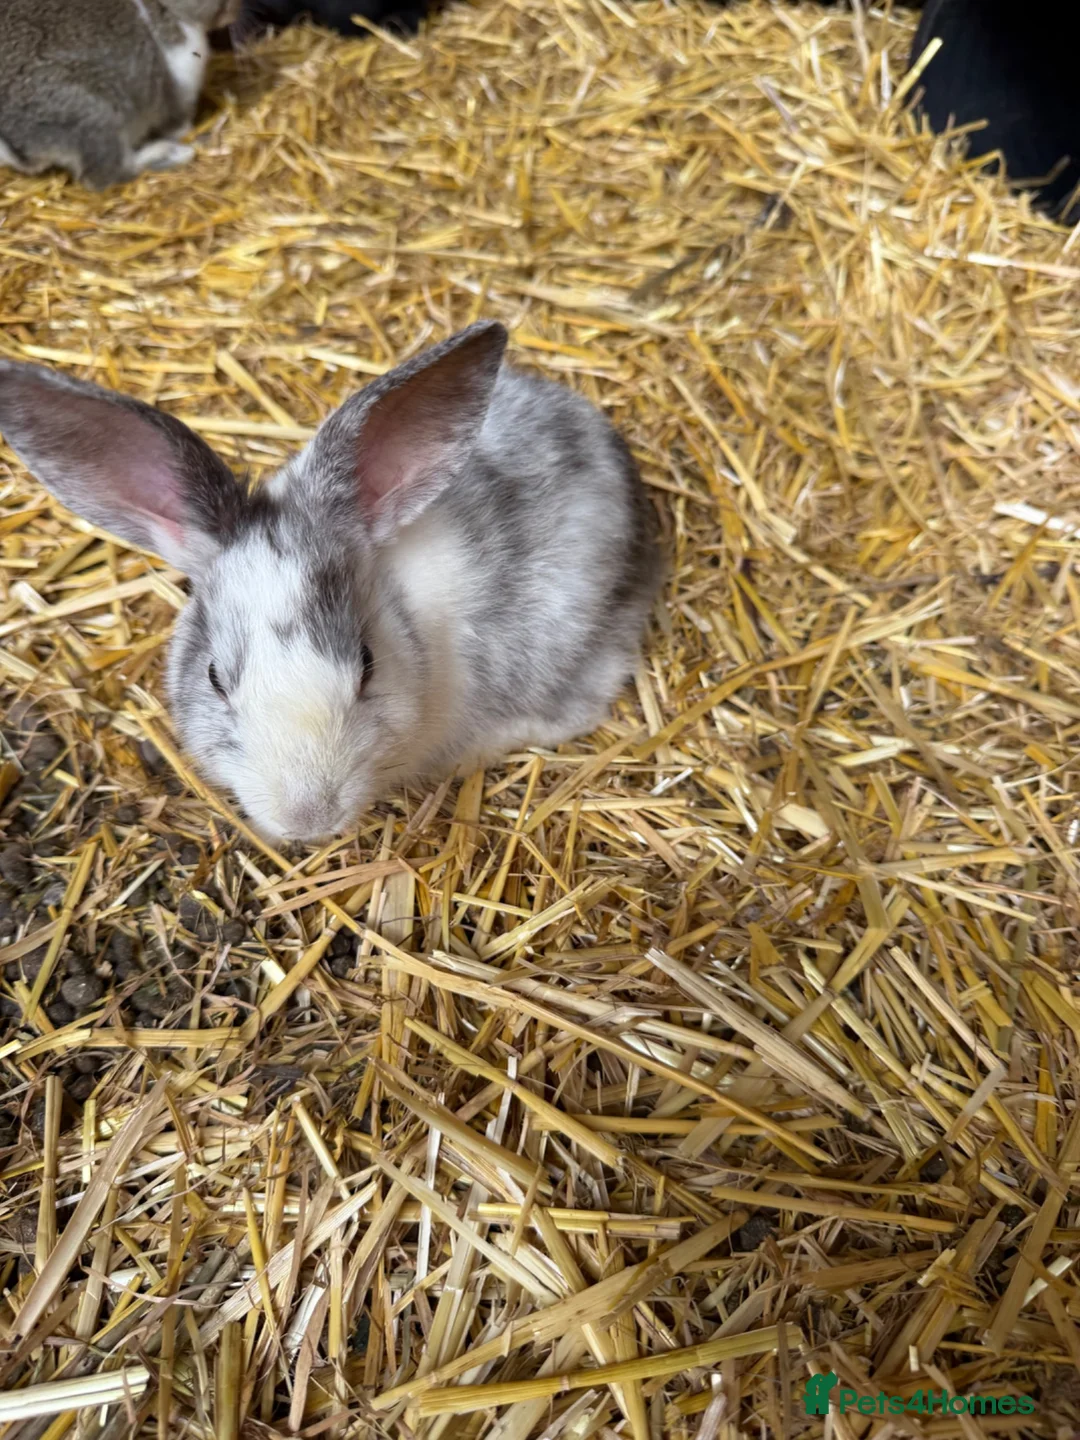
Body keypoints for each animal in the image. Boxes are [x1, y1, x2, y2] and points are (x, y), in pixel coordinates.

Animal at [0, 0, 240, 191]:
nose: (232, 8)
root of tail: (20, 147)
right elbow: (177, 122)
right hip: (96, 117)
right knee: (106, 175)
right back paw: (171, 153)